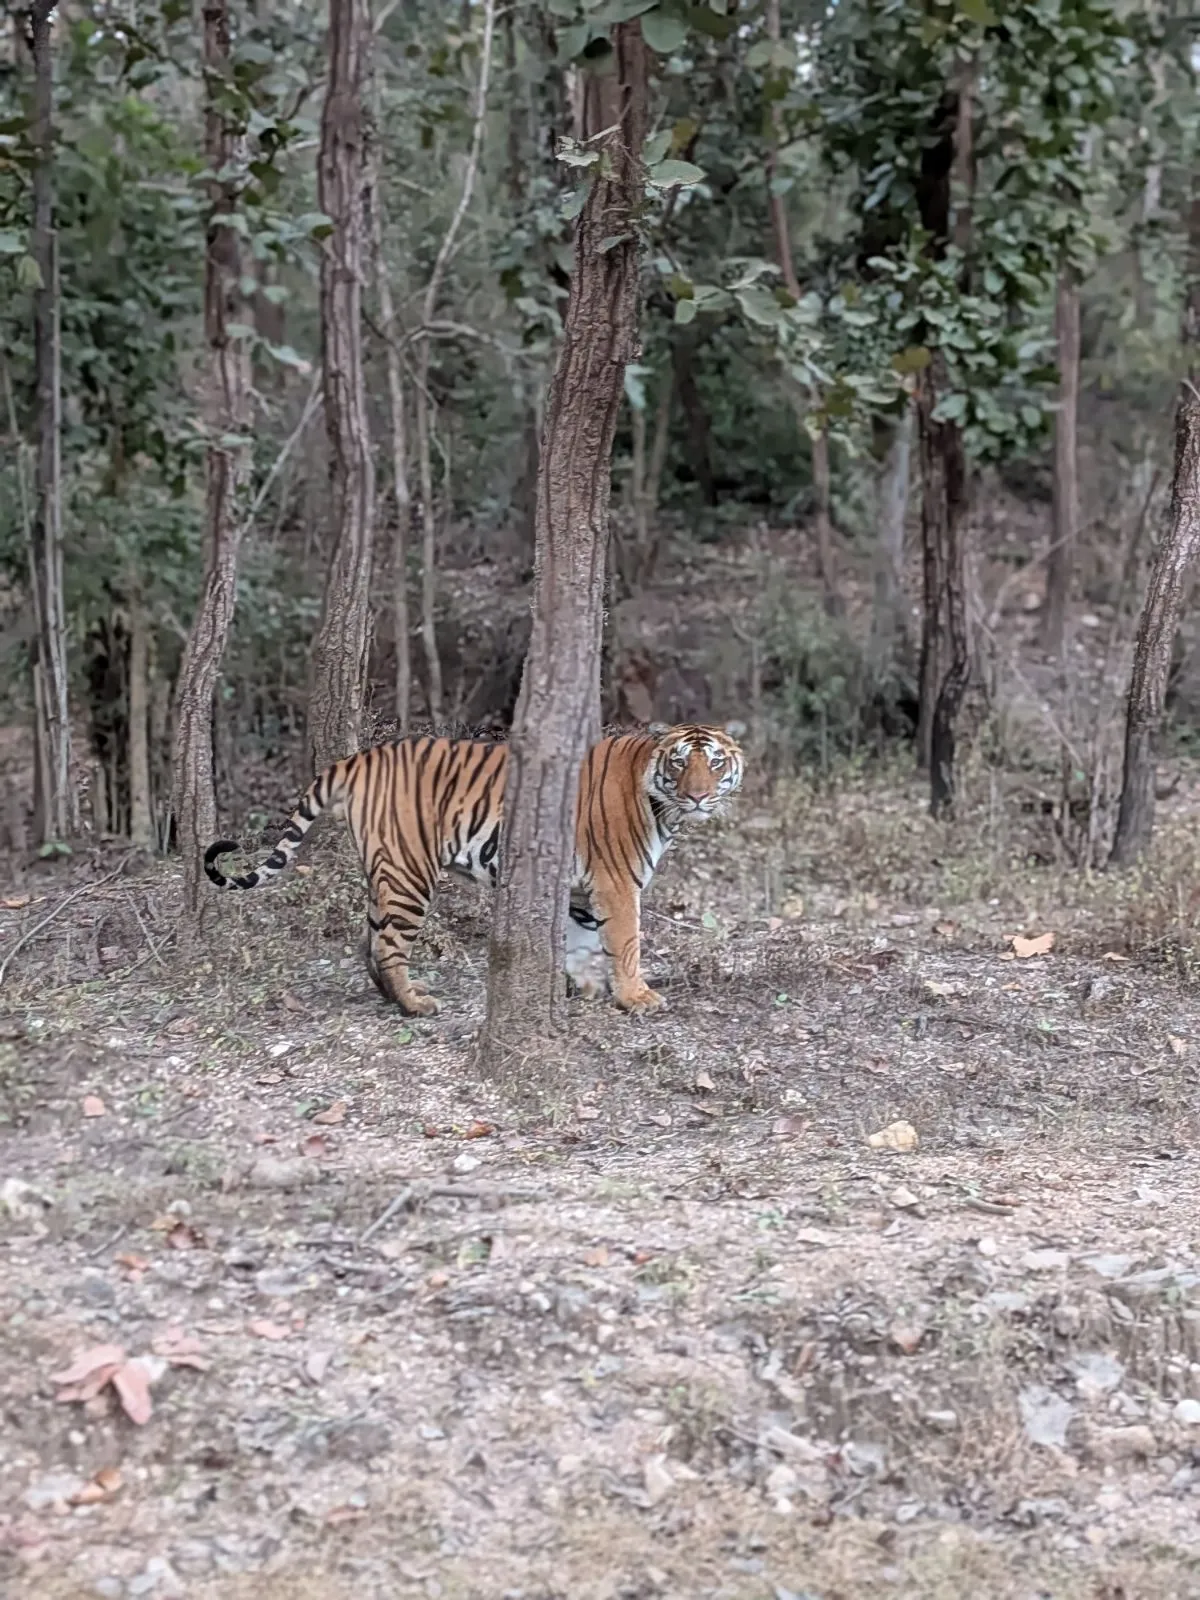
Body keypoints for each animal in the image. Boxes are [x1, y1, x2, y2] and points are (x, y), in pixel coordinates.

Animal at [203, 722, 745, 1017]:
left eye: (715, 764)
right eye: (680, 764)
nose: (699, 796)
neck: (662, 805)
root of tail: (359, 758)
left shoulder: (579, 887)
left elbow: (582, 938)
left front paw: (582, 988)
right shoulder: (616, 882)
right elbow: (627, 941)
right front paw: (636, 997)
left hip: (384, 870)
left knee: (369, 939)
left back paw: (397, 996)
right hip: (411, 872)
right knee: (389, 943)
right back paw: (414, 1006)